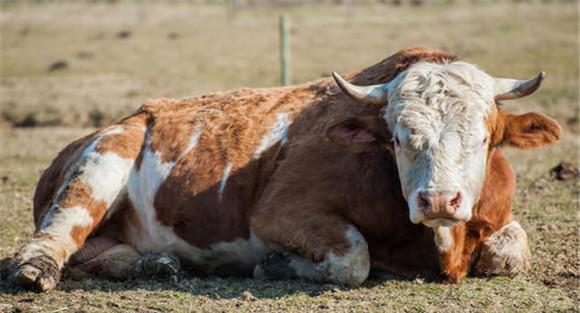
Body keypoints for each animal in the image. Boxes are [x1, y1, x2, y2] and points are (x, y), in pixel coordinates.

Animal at [3, 47, 556, 292]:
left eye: (483, 138)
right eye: (398, 138)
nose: (438, 200)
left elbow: (510, 253)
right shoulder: (280, 211)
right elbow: (353, 258)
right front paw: (277, 264)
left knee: (99, 254)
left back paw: (153, 264)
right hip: (101, 161)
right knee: (56, 236)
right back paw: (37, 269)